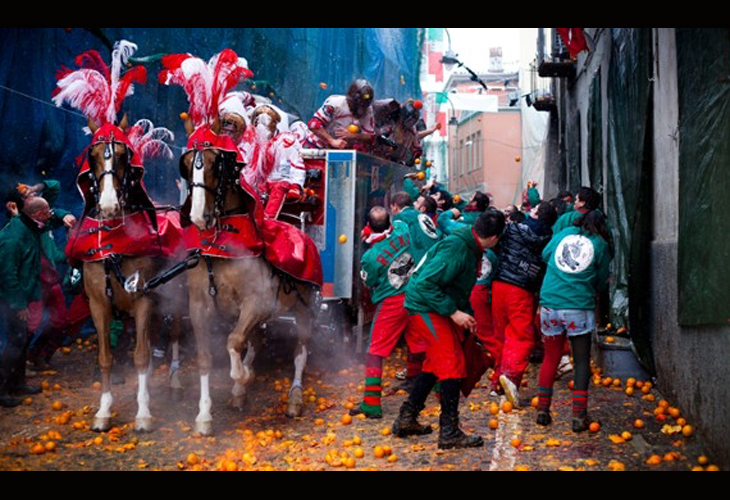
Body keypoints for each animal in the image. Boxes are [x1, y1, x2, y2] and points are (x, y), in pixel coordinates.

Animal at [178, 119, 316, 436]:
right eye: (187, 165)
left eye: (217, 165)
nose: (198, 216)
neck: (221, 249)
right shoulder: (198, 306)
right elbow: (206, 356)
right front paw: (204, 415)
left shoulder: (256, 304)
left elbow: (233, 341)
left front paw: (243, 377)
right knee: (258, 341)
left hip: (302, 308)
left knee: (300, 351)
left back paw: (294, 397)